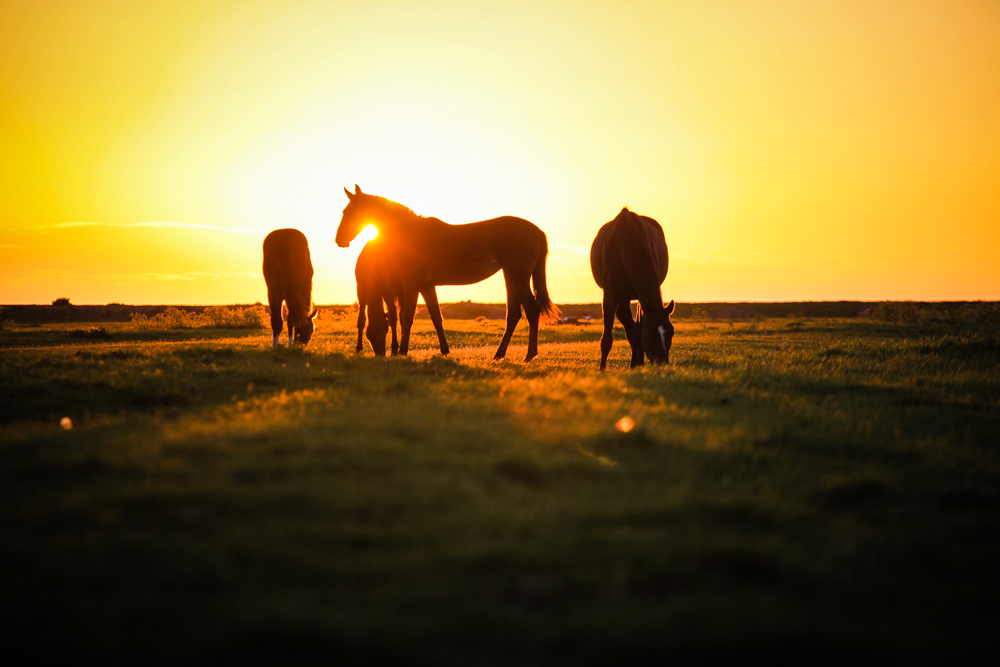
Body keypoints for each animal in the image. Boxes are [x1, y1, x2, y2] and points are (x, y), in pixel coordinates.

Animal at [336, 185, 558, 362]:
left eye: (349, 212)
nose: (340, 240)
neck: (410, 232)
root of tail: (537, 231)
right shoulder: (426, 286)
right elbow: (436, 317)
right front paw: (444, 350)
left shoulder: (411, 284)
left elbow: (406, 317)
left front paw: (403, 351)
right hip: (511, 278)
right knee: (513, 315)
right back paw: (499, 354)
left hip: (517, 278)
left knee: (531, 310)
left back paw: (529, 355)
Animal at [590, 207, 674, 370]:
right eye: (650, 334)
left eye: (671, 333)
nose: (662, 362)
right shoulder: (610, 295)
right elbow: (608, 339)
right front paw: (602, 370)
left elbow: (637, 329)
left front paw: (637, 363)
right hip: (622, 297)